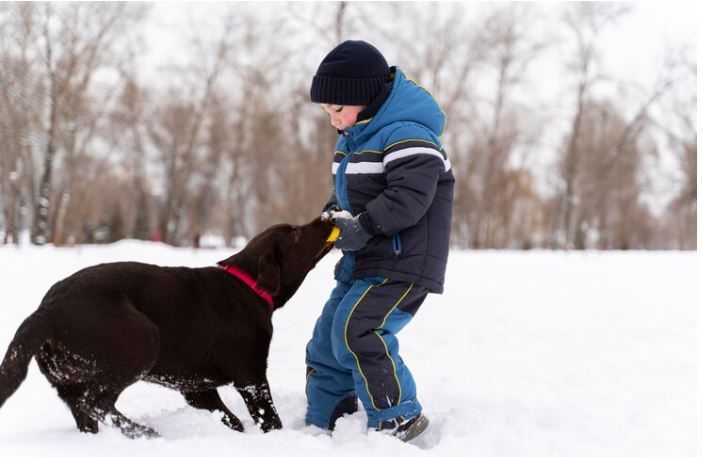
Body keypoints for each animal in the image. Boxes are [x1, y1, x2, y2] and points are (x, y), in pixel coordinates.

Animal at [0, 217, 336, 438]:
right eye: (295, 233)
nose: (326, 215)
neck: (247, 285)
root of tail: (47, 309)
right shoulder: (251, 376)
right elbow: (268, 417)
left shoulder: (196, 388)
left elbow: (230, 419)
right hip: (140, 342)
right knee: (95, 402)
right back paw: (145, 432)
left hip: (72, 380)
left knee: (85, 410)